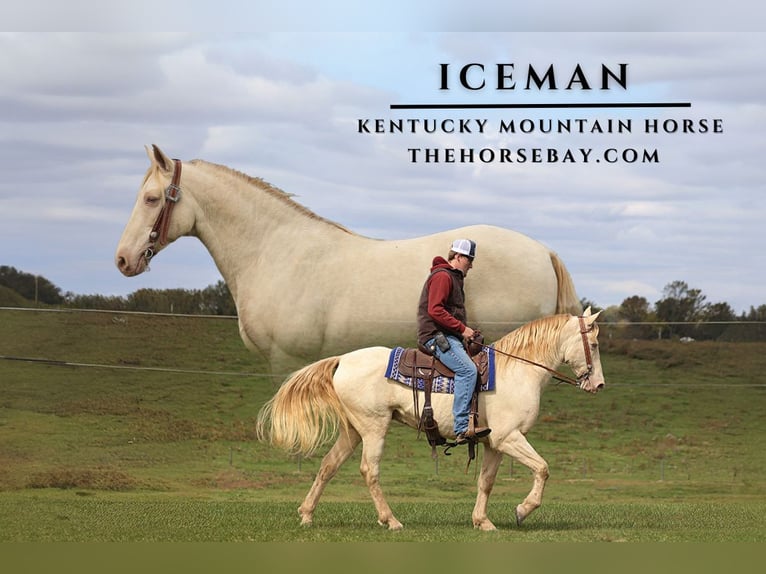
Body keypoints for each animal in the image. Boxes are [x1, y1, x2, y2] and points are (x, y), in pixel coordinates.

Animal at [256, 308, 605, 531]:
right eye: (595, 344)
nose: (599, 385)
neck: (517, 370)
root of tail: (343, 360)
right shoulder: (509, 437)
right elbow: (543, 468)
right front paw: (522, 510)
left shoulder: (493, 443)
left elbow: (486, 481)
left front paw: (483, 522)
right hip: (373, 427)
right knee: (369, 470)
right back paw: (391, 520)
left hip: (352, 430)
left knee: (328, 466)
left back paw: (306, 515)